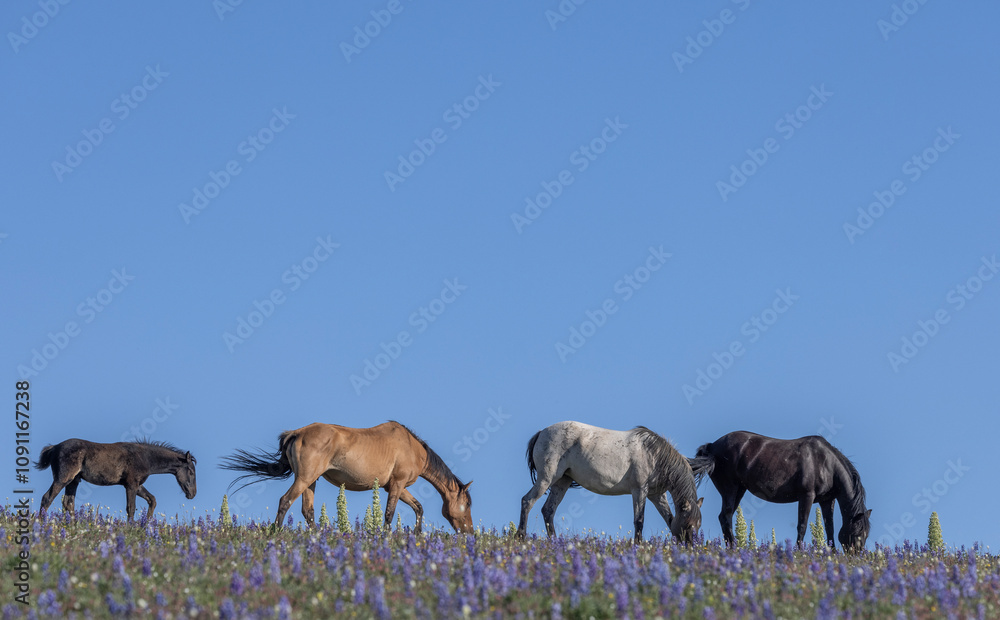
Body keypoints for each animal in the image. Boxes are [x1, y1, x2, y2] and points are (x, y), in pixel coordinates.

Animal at [36, 438, 197, 522]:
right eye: (191, 471)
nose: (193, 493)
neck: (145, 457)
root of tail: (54, 447)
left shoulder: (137, 485)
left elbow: (152, 500)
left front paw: (146, 525)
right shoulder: (131, 485)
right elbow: (131, 508)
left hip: (74, 481)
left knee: (68, 503)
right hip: (63, 479)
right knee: (47, 498)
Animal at [221, 421, 474, 533]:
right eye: (468, 504)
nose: (469, 532)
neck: (412, 447)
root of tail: (297, 433)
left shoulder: (395, 486)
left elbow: (418, 507)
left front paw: (418, 535)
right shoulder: (398, 484)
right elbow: (389, 514)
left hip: (311, 481)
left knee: (307, 510)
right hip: (304, 479)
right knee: (285, 501)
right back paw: (276, 532)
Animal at [517, 421, 704, 543]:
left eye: (699, 525)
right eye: (688, 524)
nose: (691, 548)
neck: (655, 455)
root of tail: (541, 432)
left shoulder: (657, 495)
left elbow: (669, 519)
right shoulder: (639, 490)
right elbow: (639, 520)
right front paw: (638, 546)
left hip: (561, 482)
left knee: (548, 510)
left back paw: (555, 542)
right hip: (547, 478)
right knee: (527, 501)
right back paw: (521, 537)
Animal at [690, 431, 871, 552]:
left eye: (866, 534)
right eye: (858, 533)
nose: (856, 557)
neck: (826, 463)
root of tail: (712, 446)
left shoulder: (827, 500)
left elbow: (830, 528)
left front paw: (831, 553)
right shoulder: (807, 496)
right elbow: (802, 525)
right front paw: (799, 552)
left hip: (739, 490)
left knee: (724, 517)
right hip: (730, 489)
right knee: (726, 516)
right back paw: (735, 548)